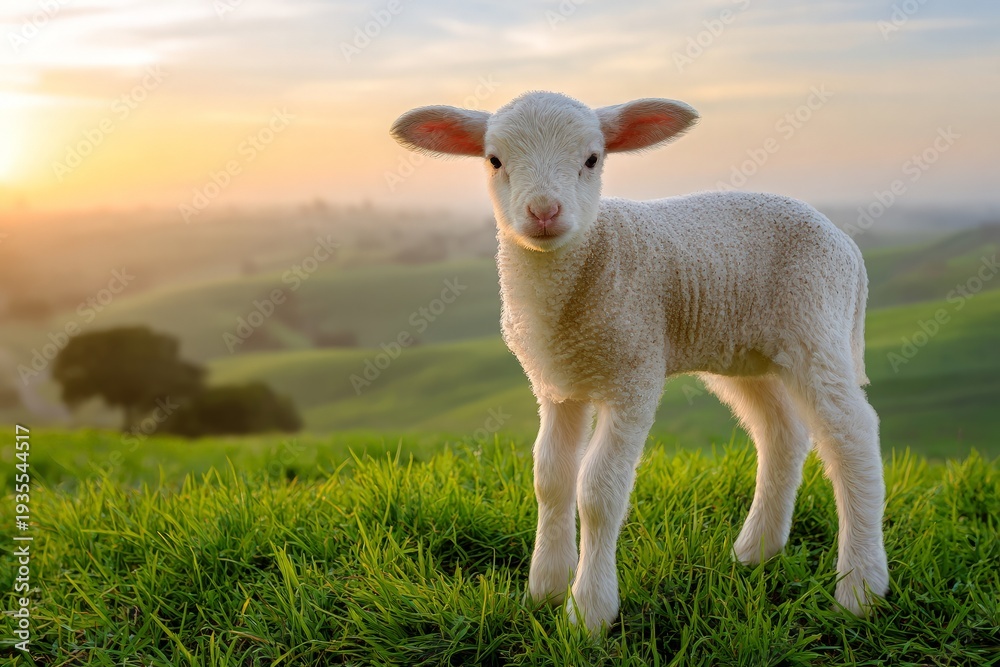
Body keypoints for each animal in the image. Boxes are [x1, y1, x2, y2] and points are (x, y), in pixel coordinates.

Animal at [390, 91, 889, 632]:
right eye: (494, 160)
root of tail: (847, 244)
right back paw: (756, 551)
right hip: (747, 351)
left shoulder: (633, 376)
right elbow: (550, 478)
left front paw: (588, 611)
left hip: (815, 326)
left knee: (852, 435)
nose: (544, 211)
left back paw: (861, 588)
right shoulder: (556, 385)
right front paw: (544, 589)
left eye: (592, 159)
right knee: (782, 432)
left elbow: (598, 492)